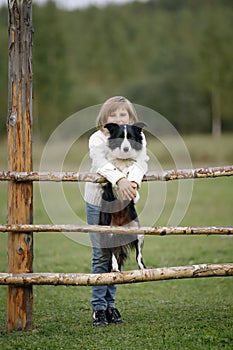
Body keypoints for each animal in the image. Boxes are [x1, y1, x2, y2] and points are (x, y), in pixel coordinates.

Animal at [99, 121, 147, 272]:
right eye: (120, 137)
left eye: (130, 137)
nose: (126, 149)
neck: (123, 159)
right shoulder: (108, 182)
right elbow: (116, 172)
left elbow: (132, 170)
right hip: (109, 233)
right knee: (113, 254)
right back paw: (115, 268)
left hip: (138, 231)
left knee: (139, 255)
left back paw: (143, 268)